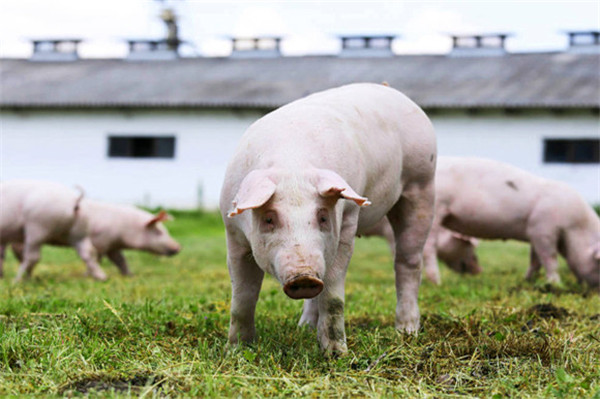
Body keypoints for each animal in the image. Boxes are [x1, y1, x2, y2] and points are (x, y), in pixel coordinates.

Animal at [0, 180, 180, 282]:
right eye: (159, 232)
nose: (178, 247)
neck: (123, 226)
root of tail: (75, 199)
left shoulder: (108, 243)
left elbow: (118, 260)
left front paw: (130, 276)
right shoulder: (105, 242)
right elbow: (117, 259)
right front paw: (129, 275)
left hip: (40, 228)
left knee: (34, 256)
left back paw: (17, 280)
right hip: (62, 231)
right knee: (87, 253)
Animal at [220, 83, 436, 354]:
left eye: (322, 217)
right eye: (269, 219)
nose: (304, 277)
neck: (293, 163)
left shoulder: (347, 220)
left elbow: (333, 294)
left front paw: (336, 354)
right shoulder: (233, 232)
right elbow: (243, 295)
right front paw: (236, 350)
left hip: (422, 183)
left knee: (407, 261)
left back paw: (406, 331)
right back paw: (303, 328)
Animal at [422, 157, 600, 290]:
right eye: (597, 262)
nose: (480, 271)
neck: (574, 228)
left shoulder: (534, 232)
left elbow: (535, 261)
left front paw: (527, 281)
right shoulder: (543, 229)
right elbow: (550, 258)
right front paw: (556, 285)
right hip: (437, 207)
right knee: (429, 248)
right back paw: (436, 282)